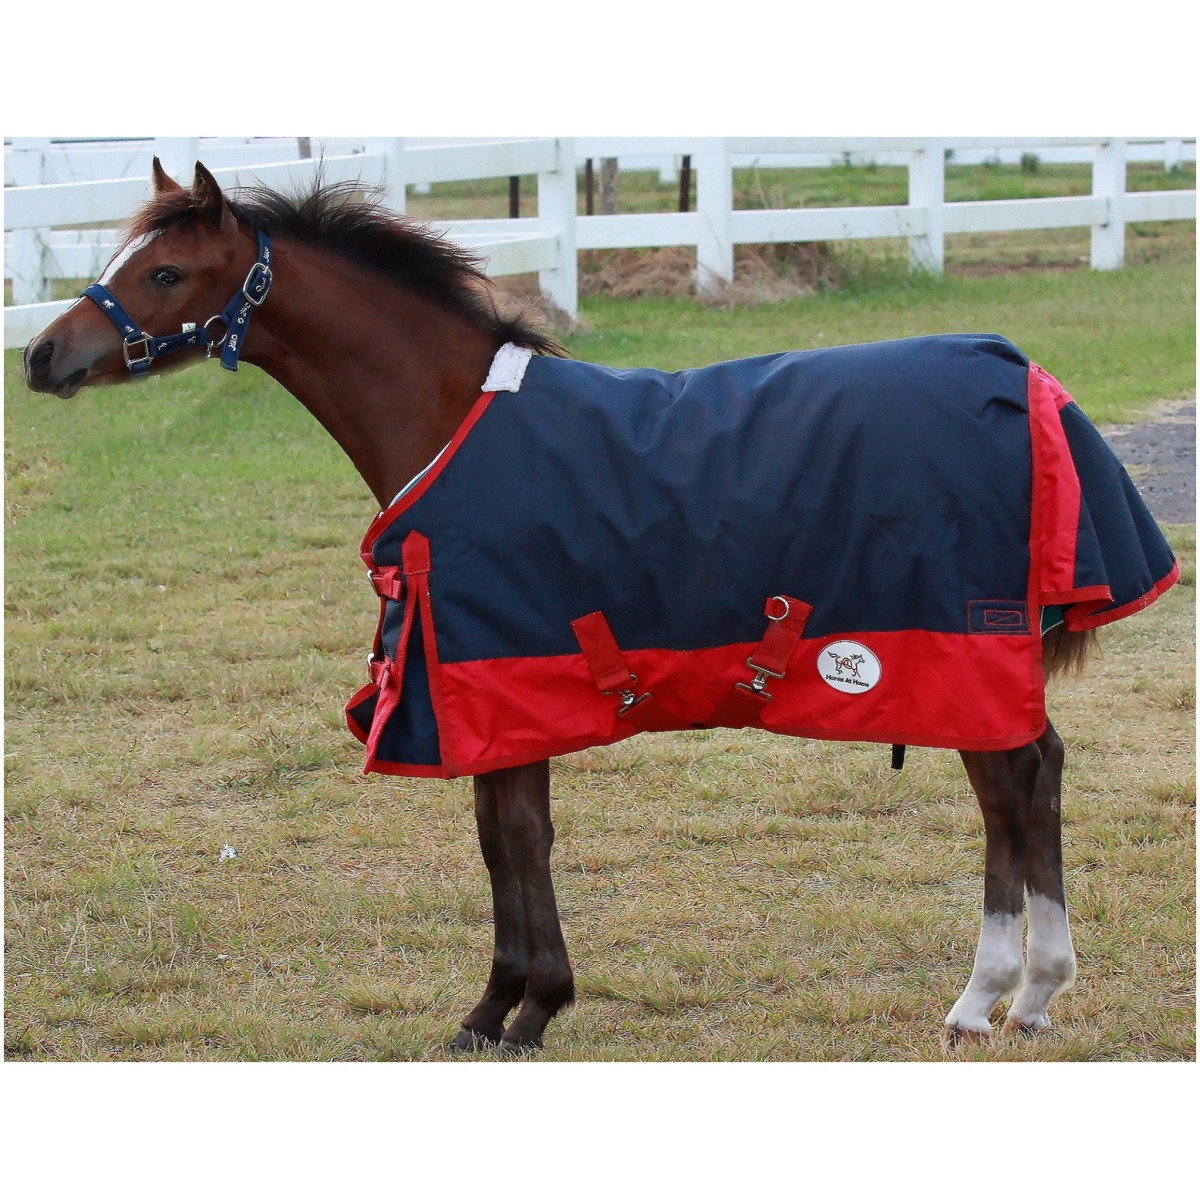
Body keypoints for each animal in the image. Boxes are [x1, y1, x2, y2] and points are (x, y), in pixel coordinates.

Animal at [23, 161, 1178, 1056]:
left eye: (165, 272)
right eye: (122, 262)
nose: (43, 357)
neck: (450, 417)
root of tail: (1025, 380)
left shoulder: (498, 677)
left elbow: (518, 838)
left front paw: (528, 1009)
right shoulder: (475, 686)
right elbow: (498, 838)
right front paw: (496, 1009)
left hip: (959, 654)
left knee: (1010, 791)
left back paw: (986, 998)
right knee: (1037, 775)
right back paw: (1033, 998)